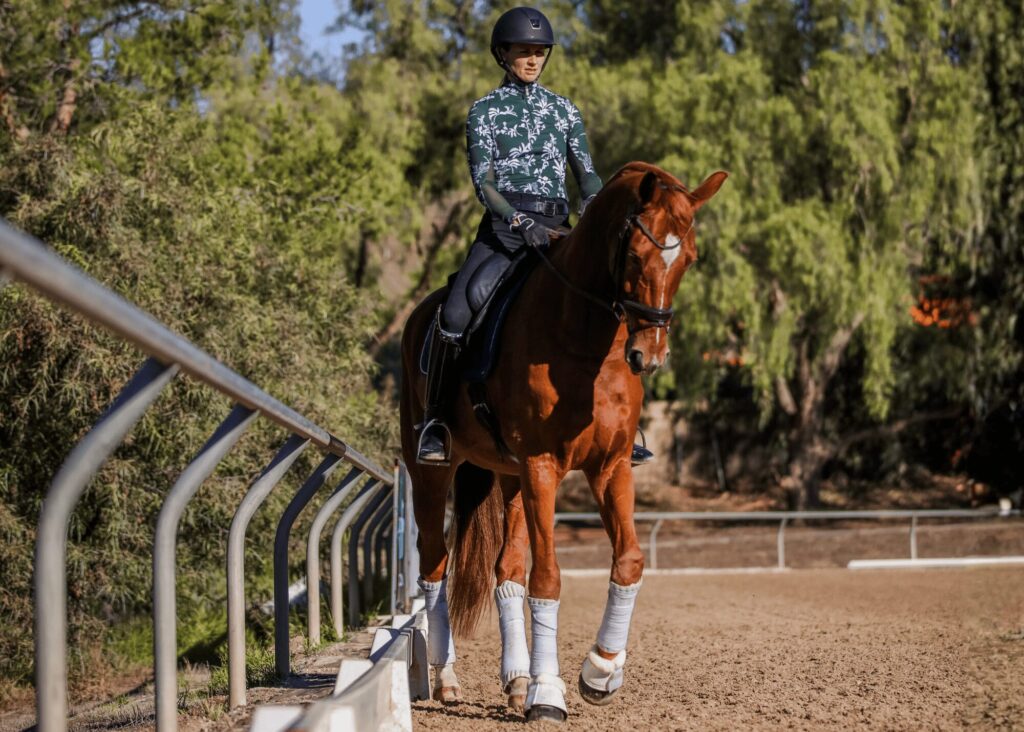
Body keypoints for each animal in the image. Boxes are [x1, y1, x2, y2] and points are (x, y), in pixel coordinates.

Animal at [399, 161, 727, 723]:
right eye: (635, 256)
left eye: (689, 258)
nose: (649, 356)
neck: (586, 341)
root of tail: (419, 314)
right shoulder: (542, 466)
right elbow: (548, 578)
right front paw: (549, 694)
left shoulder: (610, 466)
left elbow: (629, 561)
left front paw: (600, 672)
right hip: (432, 471)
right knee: (434, 563)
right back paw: (447, 679)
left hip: (508, 477)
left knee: (506, 570)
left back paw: (516, 680)